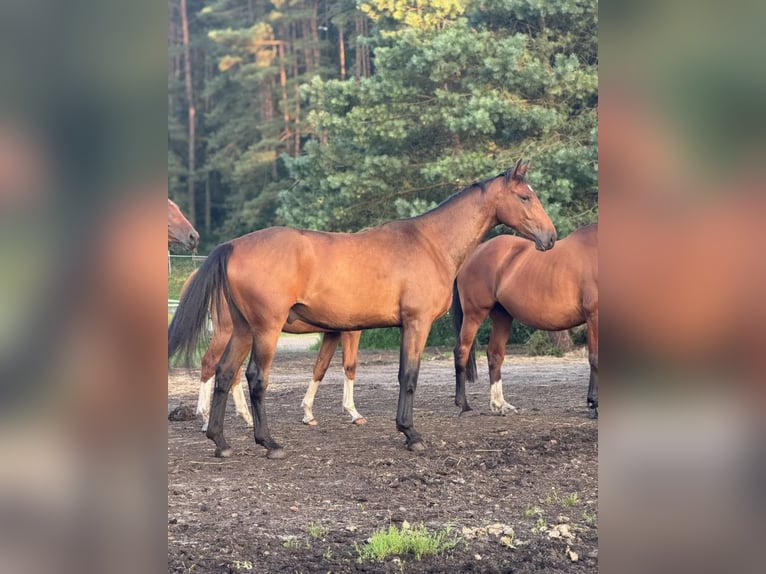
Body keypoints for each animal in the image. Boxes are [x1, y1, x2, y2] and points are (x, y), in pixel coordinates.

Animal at [179, 269, 365, 431]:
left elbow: (320, 367)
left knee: (232, 371)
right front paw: (354, 413)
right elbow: (350, 366)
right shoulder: (350, 331)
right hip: (227, 332)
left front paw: (308, 413)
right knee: (210, 363)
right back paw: (205, 418)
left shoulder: (332, 332)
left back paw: (246, 417)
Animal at [452, 223, 598, 418]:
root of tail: (474, 254)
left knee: (494, 355)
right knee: (462, 351)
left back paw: (499, 405)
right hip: (474, 314)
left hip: (502, 316)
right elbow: (594, 358)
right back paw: (463, 405)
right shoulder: (594, 315)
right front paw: (593, 404)